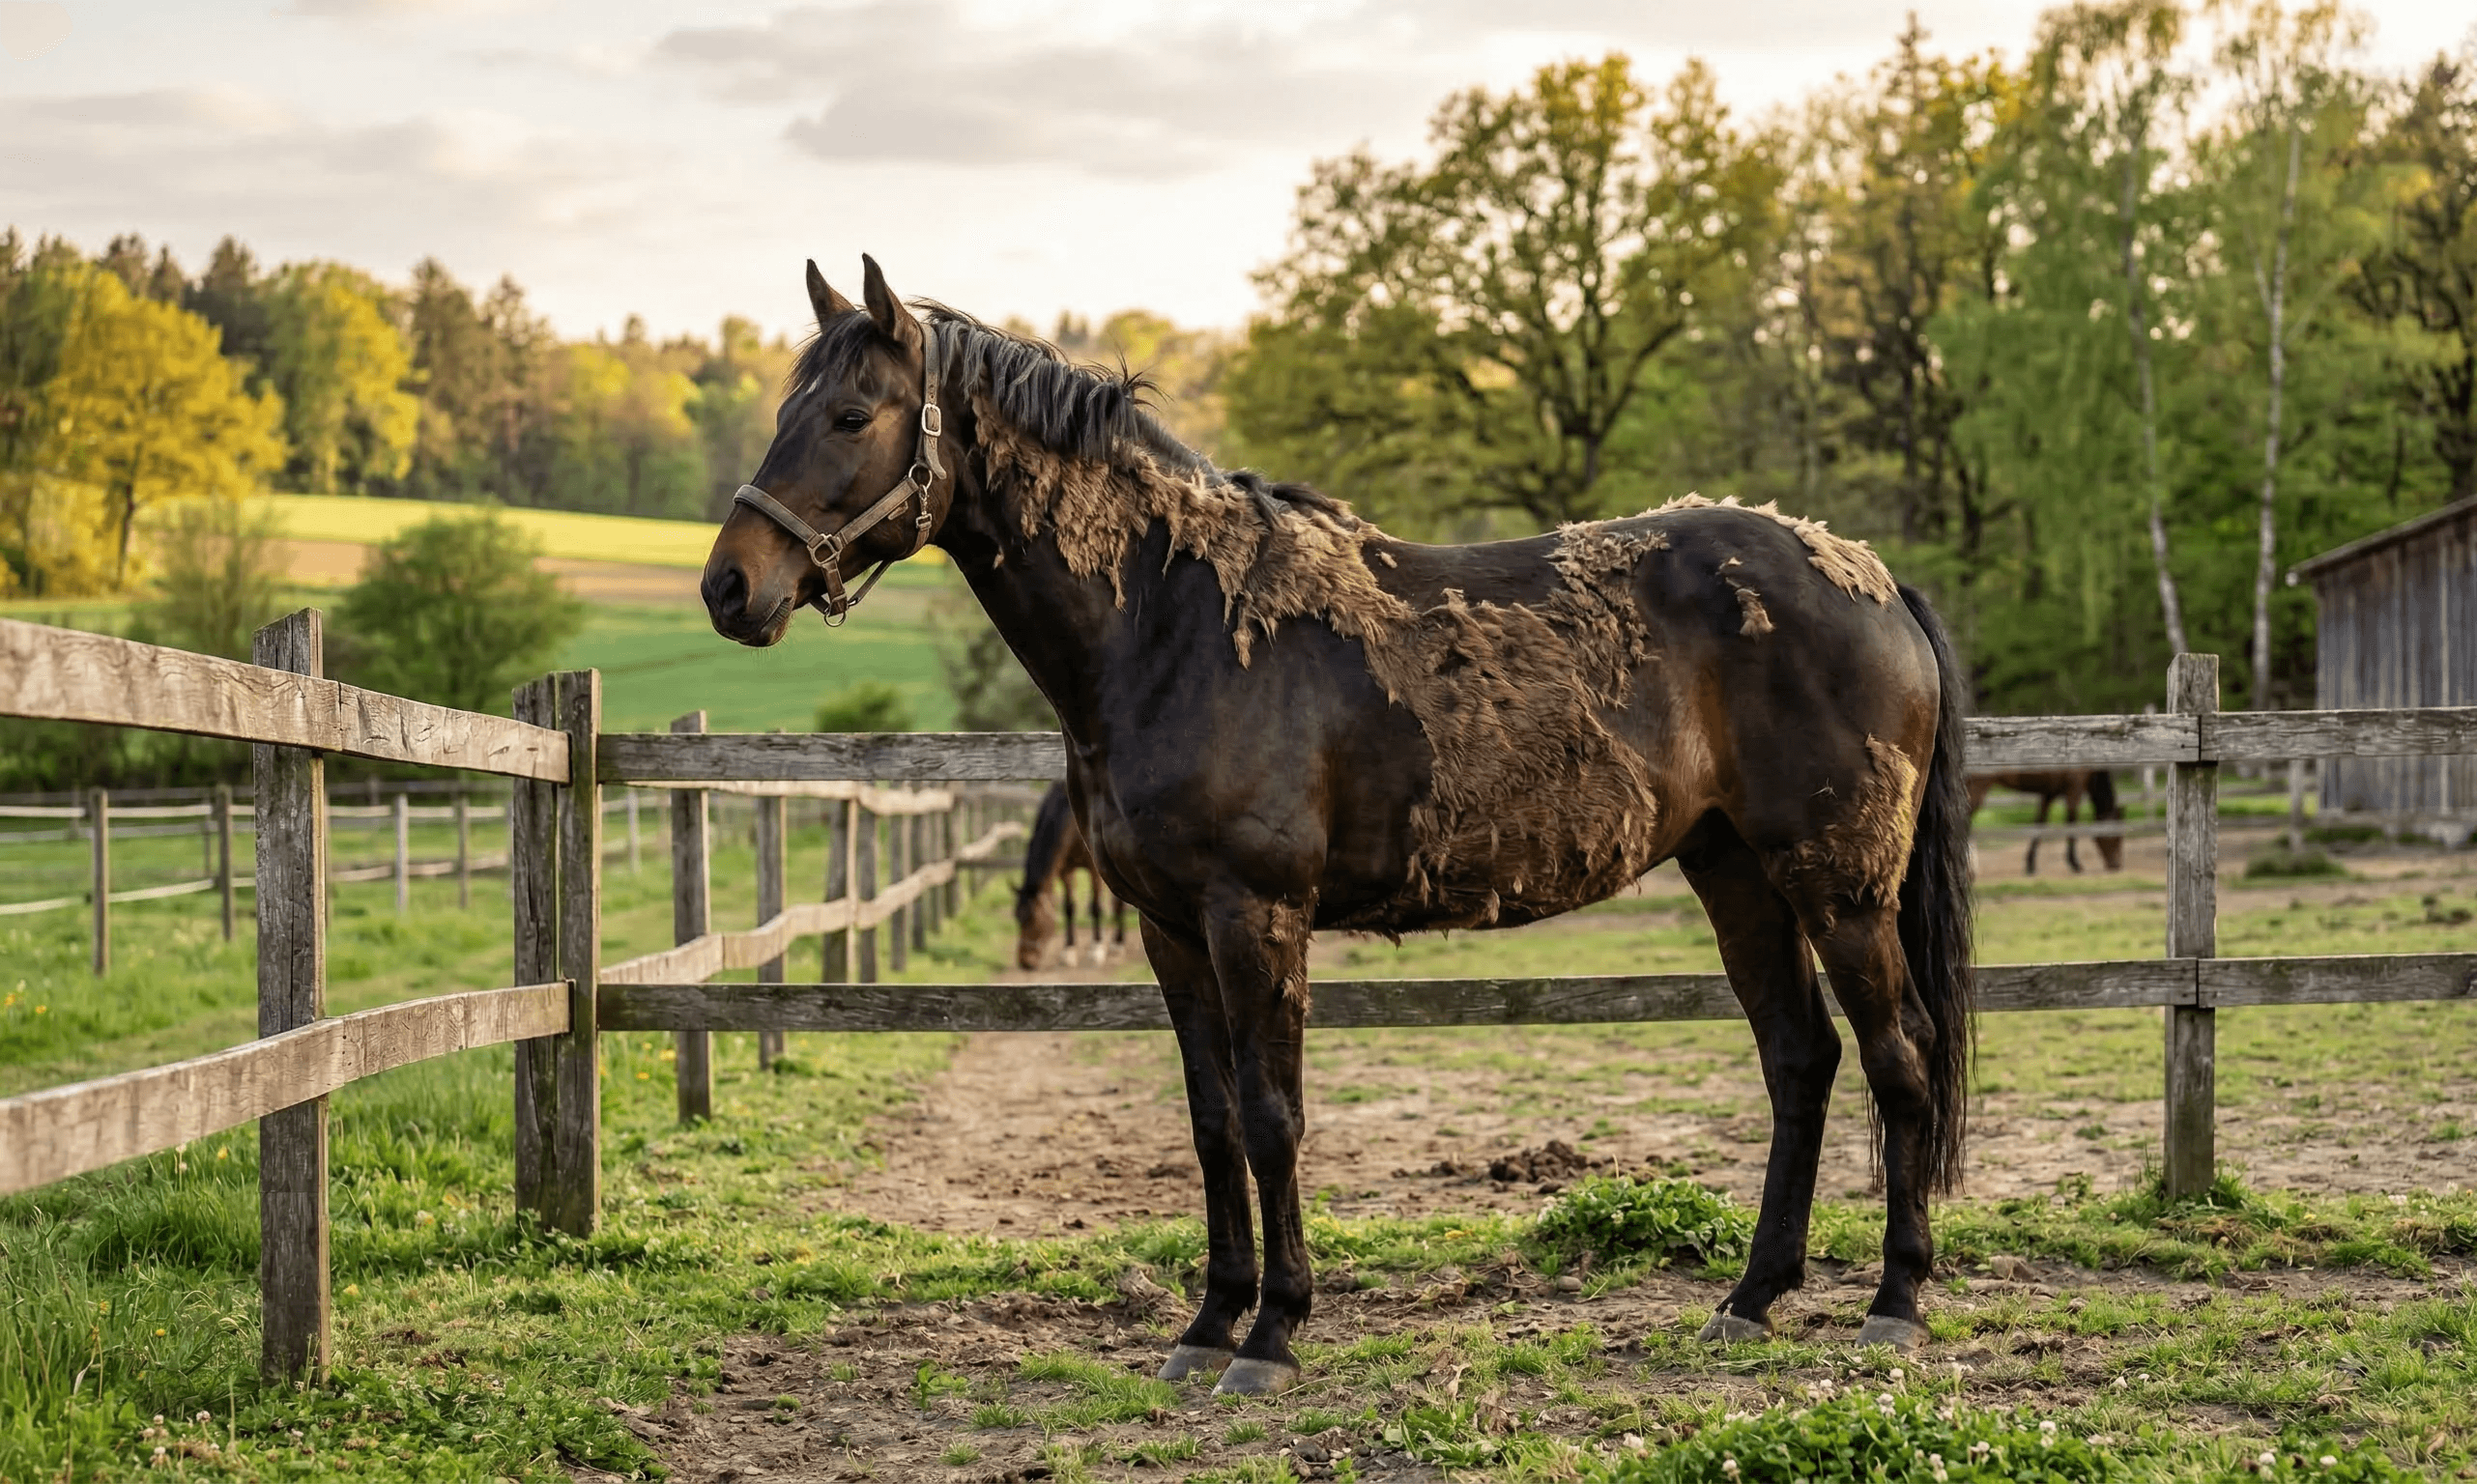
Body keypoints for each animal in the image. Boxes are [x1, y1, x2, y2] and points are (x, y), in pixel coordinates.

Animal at [1016, 781, 1129, 968]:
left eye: (1033, 920)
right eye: (1017, 918)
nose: (1025, 962)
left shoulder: (1094, 871)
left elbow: (1095, 907)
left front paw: (1096, 948)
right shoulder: (1066, 870)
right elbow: (1069, 908)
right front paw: (1069, 950)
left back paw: (1117, 943)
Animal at [1966, 769, 2123, 874]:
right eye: (2116, 837)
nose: (2116, 865)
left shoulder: (2048, 793)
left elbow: (2040, 824)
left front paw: (2030, 864)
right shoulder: (2074, 791)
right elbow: (2071, 825)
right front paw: (2075, 863)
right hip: (1976, 790)